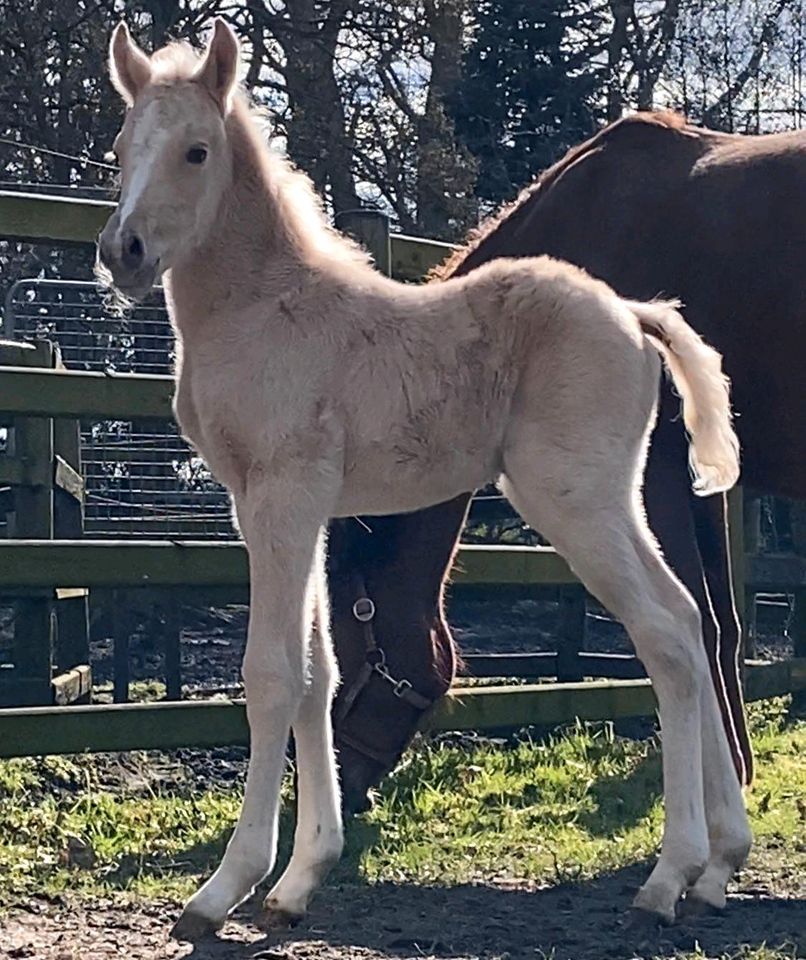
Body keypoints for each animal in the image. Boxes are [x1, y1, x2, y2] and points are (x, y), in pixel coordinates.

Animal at [99, 18, 752, 940]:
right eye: (122, 148)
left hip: (575, 501)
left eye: (195, 151)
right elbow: (320, 675)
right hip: (614, 504)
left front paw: (225, 888)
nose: (120, 252)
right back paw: (721, 861)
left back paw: (669, 877)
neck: (265, 309)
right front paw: (301, 880)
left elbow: (273, 676)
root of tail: (634, 313)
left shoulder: (280, 500)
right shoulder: (294, 509)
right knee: (694, 624)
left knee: (663, 634)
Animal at [332, 112, 806, 812]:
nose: (330, 781)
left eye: (344, 617)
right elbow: (724, 622)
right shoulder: (704, 482)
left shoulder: (659, 476)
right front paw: (735, 773)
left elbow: (694, 624)